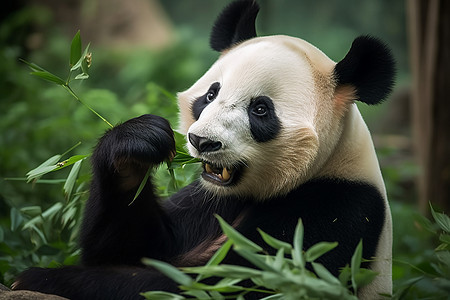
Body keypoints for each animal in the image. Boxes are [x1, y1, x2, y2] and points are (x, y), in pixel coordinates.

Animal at [13, 1, 394, 298]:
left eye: (260, 110)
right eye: (210, 94)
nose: (202, 142)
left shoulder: (334, 212)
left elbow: (220, 285)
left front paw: (42, 277)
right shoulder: (207, 200)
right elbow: (137, 250)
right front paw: (136, 145)